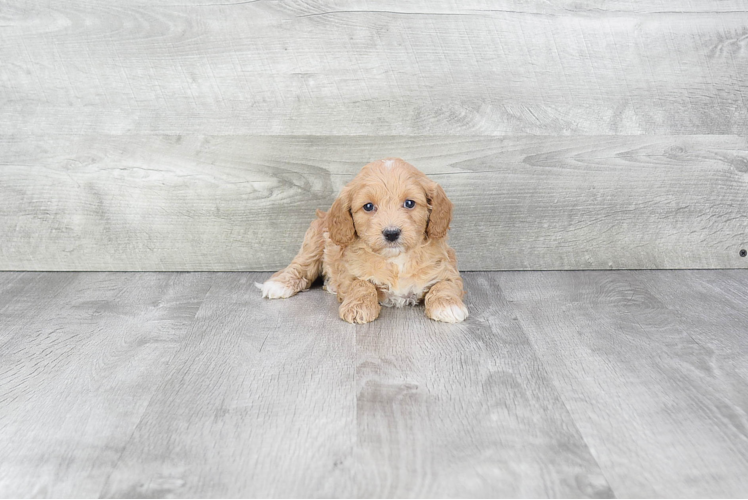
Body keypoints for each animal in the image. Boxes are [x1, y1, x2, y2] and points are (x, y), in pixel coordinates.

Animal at [258, 158, 468, 326]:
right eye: (368, 206)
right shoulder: (350, 274)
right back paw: (279, 284)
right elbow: (362, 285)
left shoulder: (447, 269)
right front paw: (358, 308)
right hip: (315, 242)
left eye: (409, 203)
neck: (396, 260)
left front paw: (448, 305)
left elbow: (444, 285)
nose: (391, 233)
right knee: (301, 265)